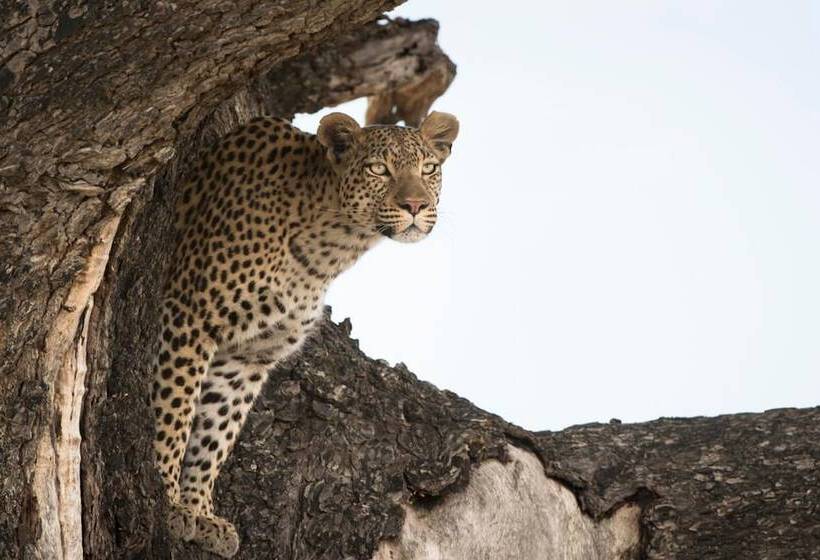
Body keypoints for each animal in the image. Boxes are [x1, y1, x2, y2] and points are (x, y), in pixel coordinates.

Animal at [150, 110, 459, 557]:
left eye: (429, 169)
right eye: (378, 169)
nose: (416, 205)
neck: (329, 244)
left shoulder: (247, 358)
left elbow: (215, 432)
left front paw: (199, 511)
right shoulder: (187, 316)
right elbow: (173, 414)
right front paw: (167, 499)